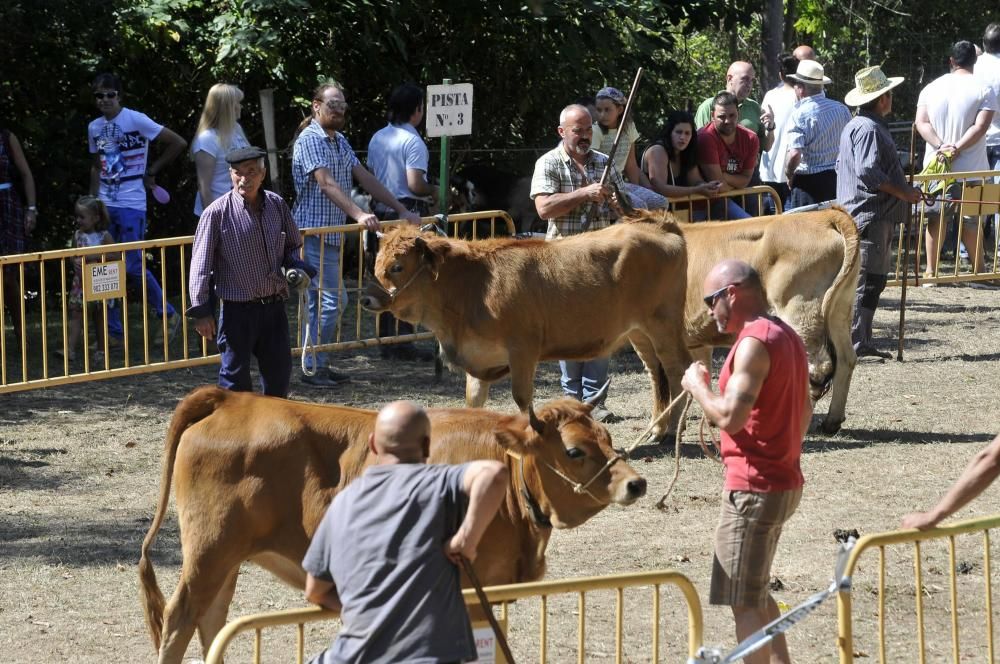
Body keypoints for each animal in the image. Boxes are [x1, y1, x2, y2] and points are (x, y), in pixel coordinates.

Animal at [137, 386, 644, 660]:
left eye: (607, 436)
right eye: (574, 451)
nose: (636, 483)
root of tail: (231, 398)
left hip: (226, 559)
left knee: (210, 621)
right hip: (209, 551)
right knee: (180, 619)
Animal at [362, 215, 696, 438]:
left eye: (397, 266)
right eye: (376, 263)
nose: (366, 298)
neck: (474, 285)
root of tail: (658, 223)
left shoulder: (523, 350)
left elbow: (522, 398)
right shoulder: (478, 357)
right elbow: (474, 401)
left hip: (663, 325)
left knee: (678, 369)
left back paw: (670, 430)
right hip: (639, 332)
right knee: (656, 373)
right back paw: (656, 428)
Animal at [664, 208, 860, 434]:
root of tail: (825, 214)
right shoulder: (698, 340)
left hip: (800, 309)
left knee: (817, 367)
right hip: (841, 309)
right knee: (846, 359)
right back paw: (831, 421)